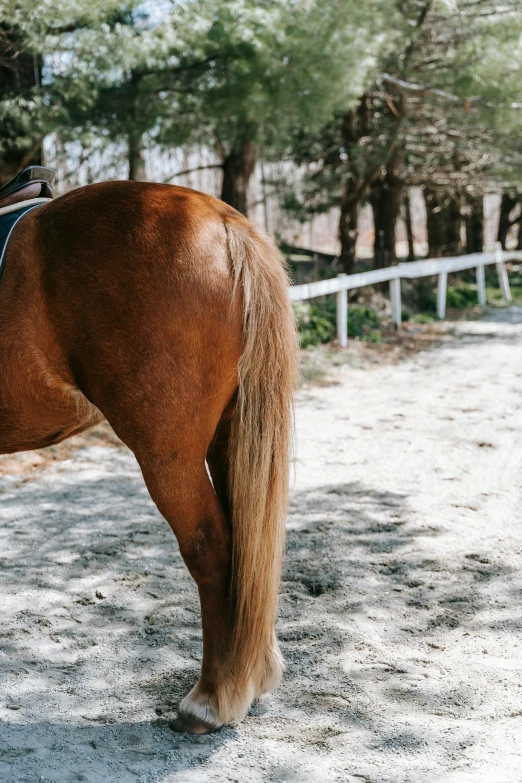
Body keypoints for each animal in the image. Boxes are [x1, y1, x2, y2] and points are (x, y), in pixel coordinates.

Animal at [0, 179, 296, 736]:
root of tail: (223, 220)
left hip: (167, 455)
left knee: (213, 548)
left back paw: (211, 699)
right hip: (229, 436)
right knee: (248, 548)